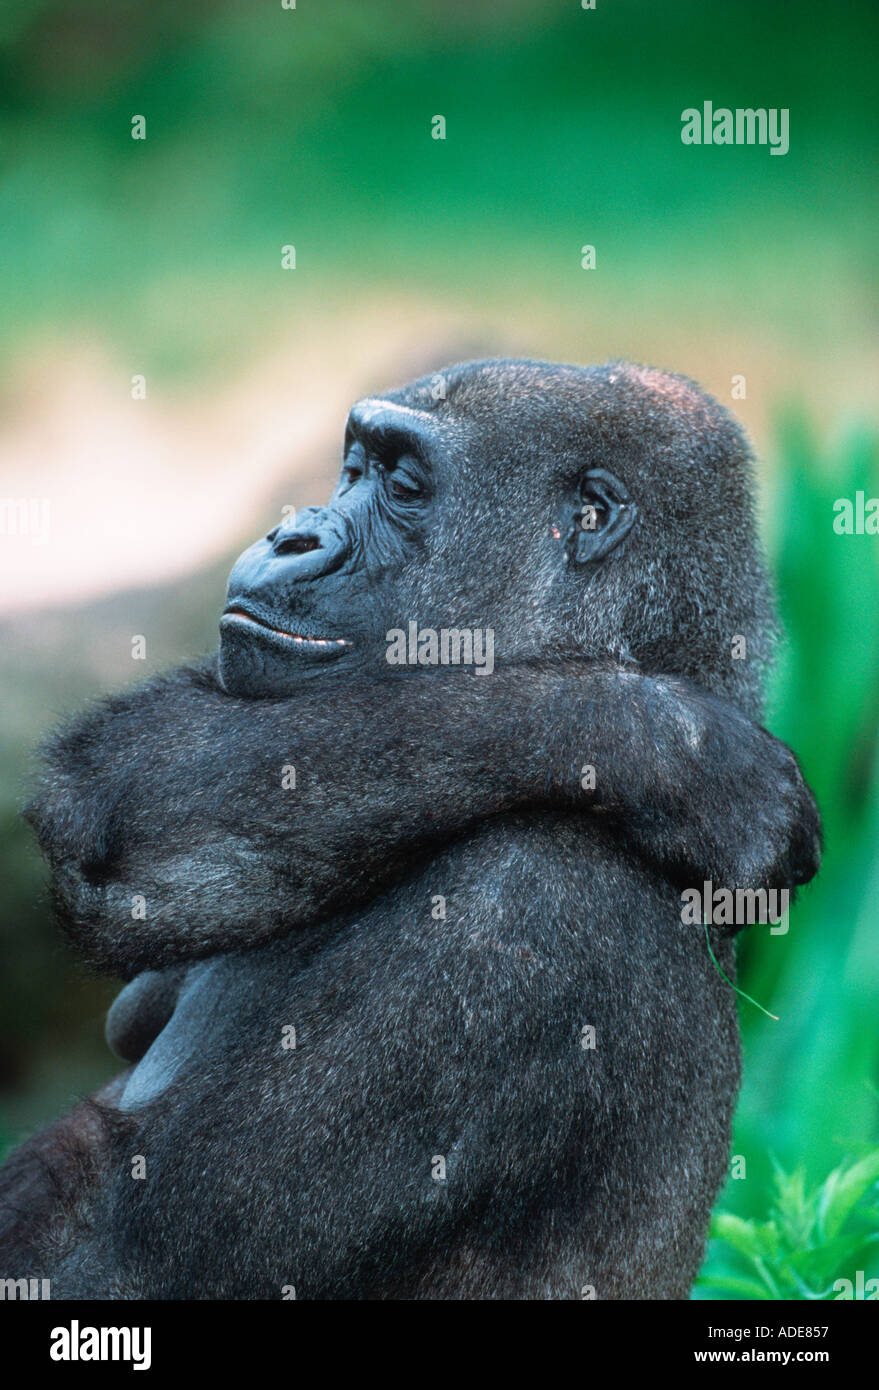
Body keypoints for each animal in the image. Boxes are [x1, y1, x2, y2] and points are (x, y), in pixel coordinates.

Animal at [1, 359, 820, 1299]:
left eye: (400, 486)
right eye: (351, 467)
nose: (291, 536)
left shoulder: (527, 907)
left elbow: (128, 1254)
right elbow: (135, 793)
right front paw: (665, 741)